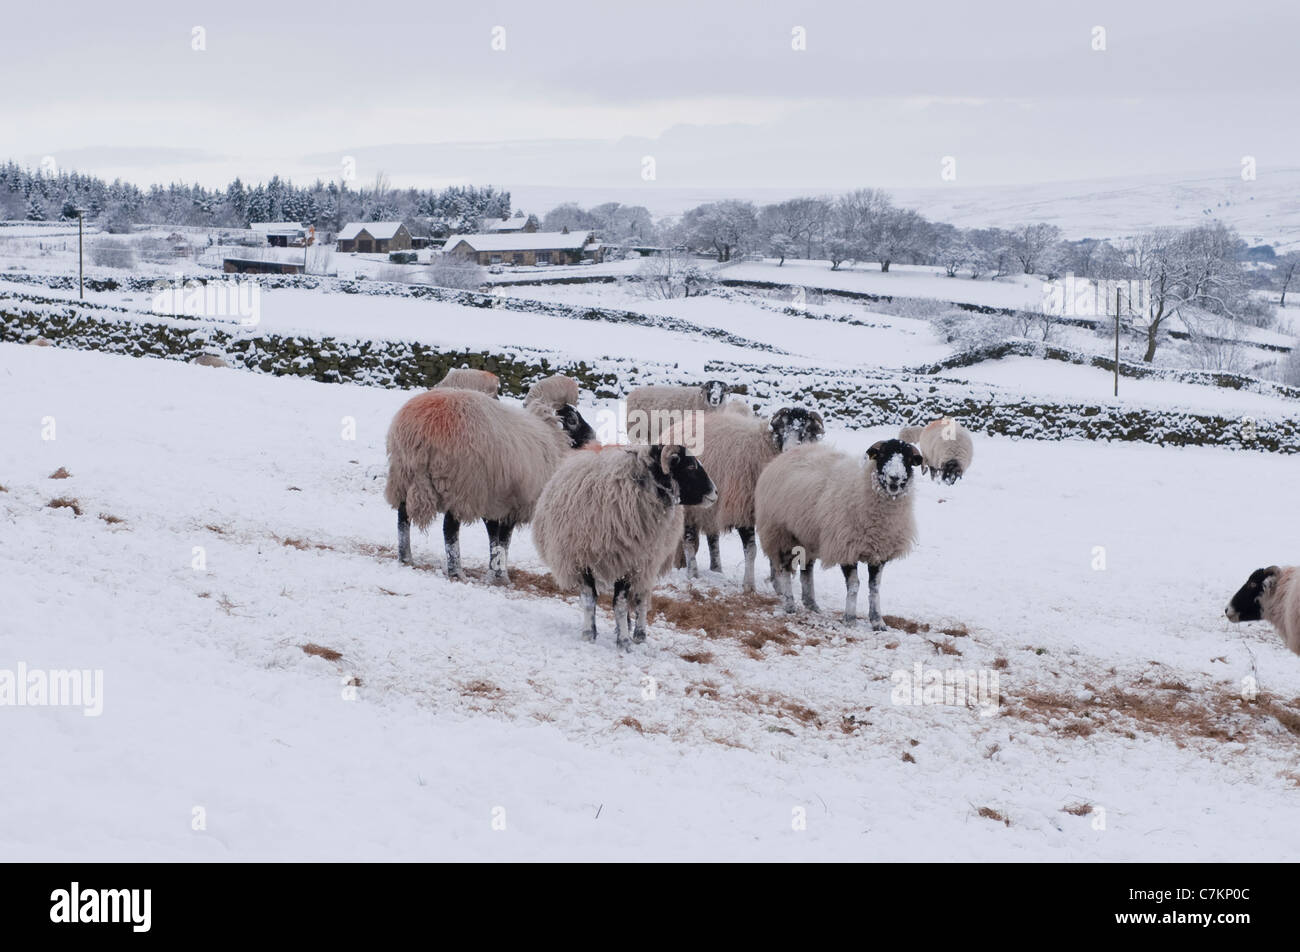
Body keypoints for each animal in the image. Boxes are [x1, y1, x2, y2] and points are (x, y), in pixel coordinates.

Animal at [379, 384, 595, 580]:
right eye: (573, 419)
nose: (593, 437)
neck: (551, 435)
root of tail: (420, 431)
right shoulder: (514, 504)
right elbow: (504, 539)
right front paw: (502, 575)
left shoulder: (494, 500)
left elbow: (493, 537)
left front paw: (493, 573)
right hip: (459, 484)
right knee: (449, 529)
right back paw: (456, 571)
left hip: (403, 476)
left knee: (403, 517)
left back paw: (406, 558)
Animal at [530, 444, 722, 650]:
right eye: (690, 466)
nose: (715, 493)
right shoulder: (582, 558)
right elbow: (590, 599)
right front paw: (589, 635)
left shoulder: (629, 562)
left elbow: (620, 604)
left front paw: (623, 642)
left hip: (648, 561)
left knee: (641, 597)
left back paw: (639, 634)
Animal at [665, 408, 826, 587]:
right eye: (783, 430)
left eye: (805, 432)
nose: (789, 450)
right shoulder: (742, 508)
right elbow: (751, 550)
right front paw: (749, 584)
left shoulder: (771, 516)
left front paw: (774, 581)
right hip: (690, 507)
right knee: (689, 541)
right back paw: (693, 573)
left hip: (709, 508)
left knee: (712, 538)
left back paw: (716, 569)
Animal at [754, 439, 925, 632]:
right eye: (882, 454)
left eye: (908, 459)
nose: (895, 477)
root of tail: (783, 456)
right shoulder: (845, 548)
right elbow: (854, 585)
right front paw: (850, 618)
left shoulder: (878, 553)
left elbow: (874, 588)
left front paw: (877, 621)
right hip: (781, 533)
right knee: (784, 568)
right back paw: (790, 604)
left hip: (807, 537)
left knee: (807, 570)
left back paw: (812, 604)